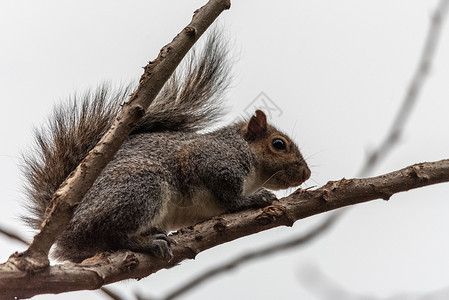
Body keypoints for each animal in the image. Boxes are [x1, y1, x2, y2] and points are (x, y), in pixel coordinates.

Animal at [22, 31, 310, 262]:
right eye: (278, 144)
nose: (306, 174)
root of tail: (64, 229)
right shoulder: (212, 158)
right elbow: (229, 194)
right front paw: (252, 199)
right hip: (140, 186)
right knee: (114, 234)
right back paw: (146, 242)